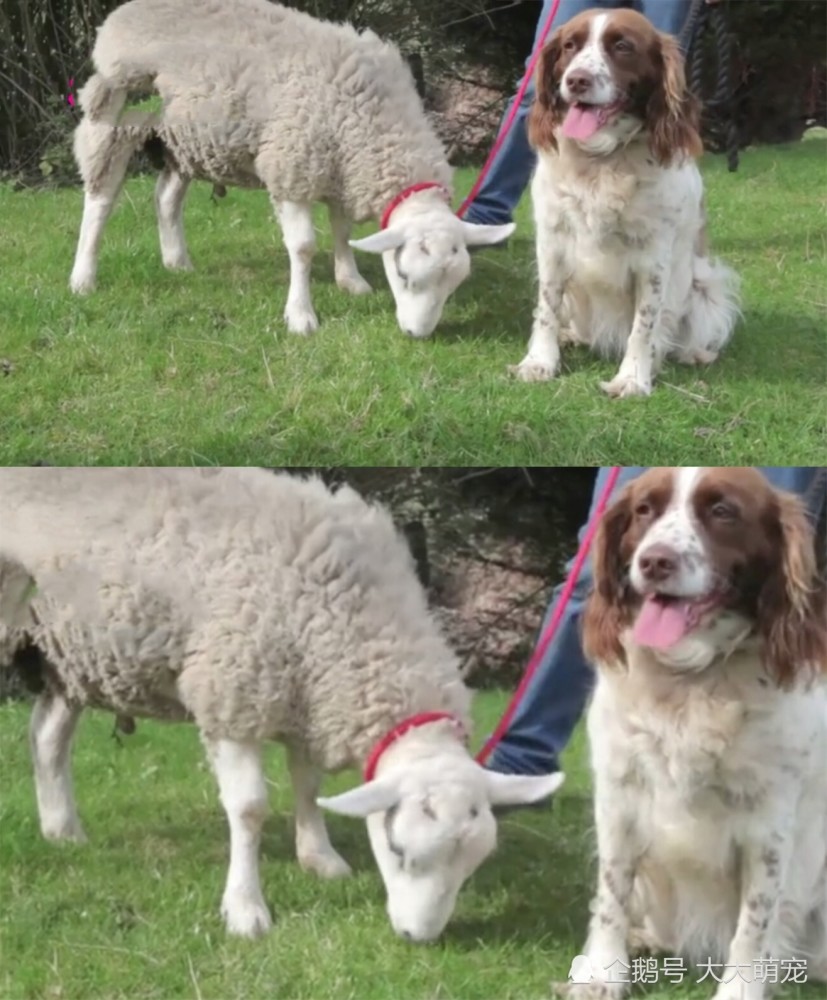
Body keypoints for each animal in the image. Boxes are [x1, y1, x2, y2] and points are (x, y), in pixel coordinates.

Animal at [0, 464, 564, 940]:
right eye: (398, 849)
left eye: (473, 863)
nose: (418, 937)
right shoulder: (232, 693)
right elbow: (249, 809)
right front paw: (246, 909)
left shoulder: (309, 700)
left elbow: (309, 787)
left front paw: (320, 858)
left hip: (69, 653)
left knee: (46, 736)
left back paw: (62, 830)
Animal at [71, 0, 516, 340]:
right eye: (404, 275)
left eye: (455, 282)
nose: (417, 335)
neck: (376, 123)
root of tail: (124, 12)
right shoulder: (292, 166)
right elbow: (302, 247)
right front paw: (301, 316)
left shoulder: (341, 171)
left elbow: (343, 231)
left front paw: (351, 281)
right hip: (118, 102)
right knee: (101, 191)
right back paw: (83, 277)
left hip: (187, 135)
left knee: (166, 196)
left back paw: (176, 261)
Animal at [516, 9, 744, 398]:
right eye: (570, 45)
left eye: (622, 46)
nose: (576, 80)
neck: (602, 162)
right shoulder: (552, 241)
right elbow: (546, 307)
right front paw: (540, 362)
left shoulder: (654, 257)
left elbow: (644, 326)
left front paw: (633, 378)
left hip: (705, 283)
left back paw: (694, 353)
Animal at [564, 470, 827, 1000]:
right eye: (644, 510)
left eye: (723, 511)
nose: (654, 561)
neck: (691, 684)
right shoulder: (619, 796)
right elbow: (612, 893)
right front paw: (602, 973)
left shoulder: (770, 822)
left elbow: (754, 924)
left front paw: (740, 990)